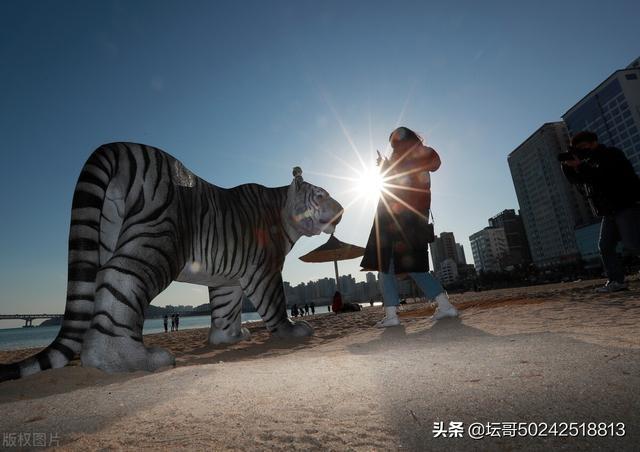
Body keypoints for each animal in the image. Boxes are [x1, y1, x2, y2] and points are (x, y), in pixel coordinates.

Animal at [0, 143, 343, 382]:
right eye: (321, 195)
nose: (341, 210)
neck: (284, 212)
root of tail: (116, 147)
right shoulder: (264, 268)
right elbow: (274, 304)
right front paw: (291, 331)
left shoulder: (228, 275)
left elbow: (226, 308)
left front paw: (229, 338)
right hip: (160, 237)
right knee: (118, 278)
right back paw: (133, 360)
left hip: (106, 236)